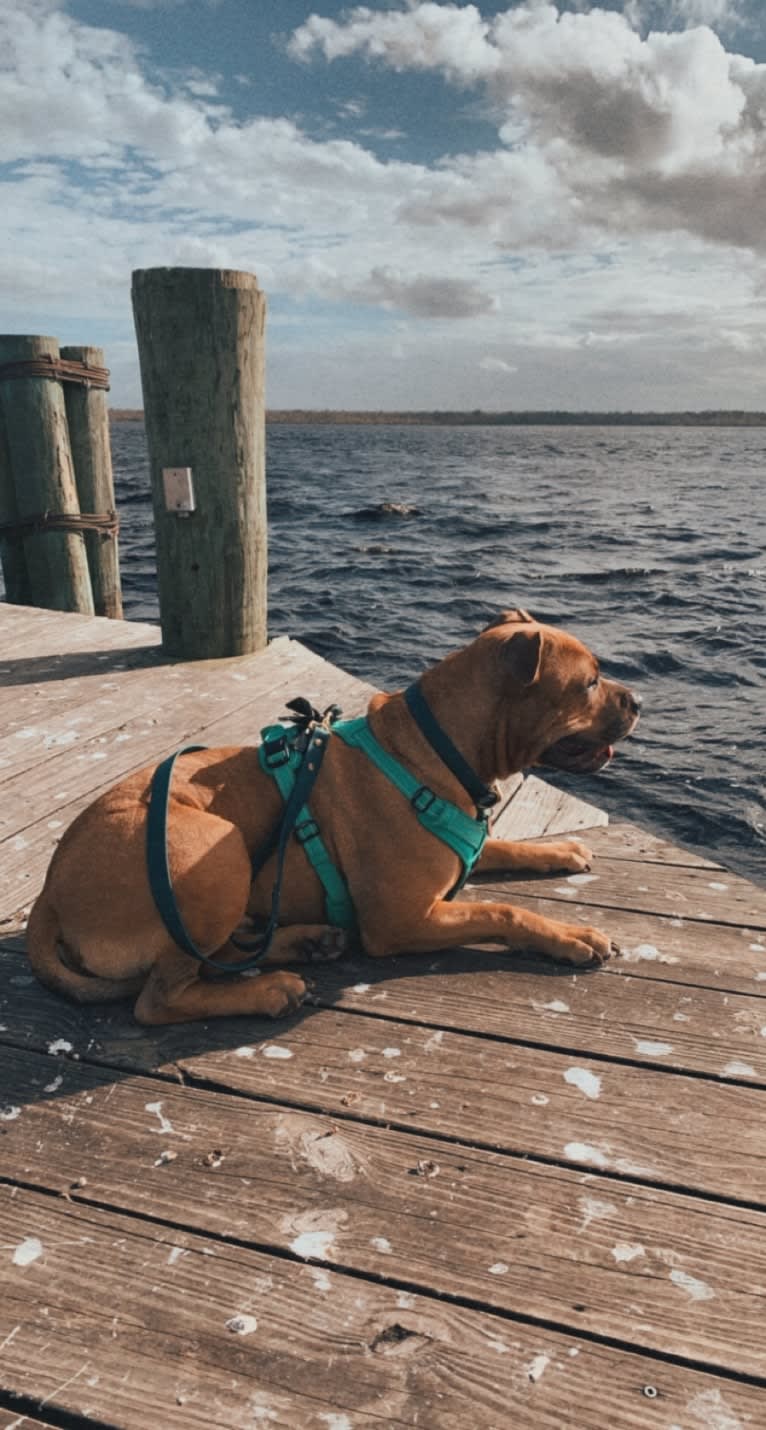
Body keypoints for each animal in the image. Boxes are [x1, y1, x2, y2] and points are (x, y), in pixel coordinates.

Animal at [25, 609, 640, 1023]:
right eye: (589, 683)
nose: (638, 701)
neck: (437, 746)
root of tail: (50, 892)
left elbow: (506, 846)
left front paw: (560, 850)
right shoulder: (404, 920)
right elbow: (504, 911)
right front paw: (570, 934)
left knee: (220, 956)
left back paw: (307, 942)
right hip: (214, 851)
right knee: (161, 997)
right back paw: (270, 989)